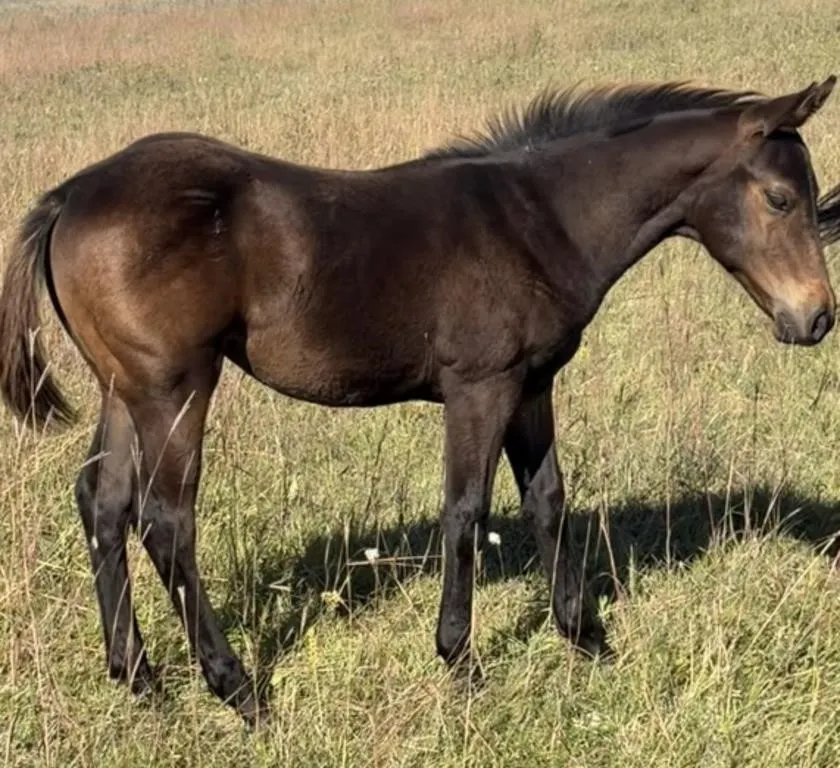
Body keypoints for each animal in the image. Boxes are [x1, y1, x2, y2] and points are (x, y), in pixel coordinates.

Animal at [0, 76, 837, 725]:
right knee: (166, 520)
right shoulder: (480, 386)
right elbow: (465, 511)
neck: (537, 220)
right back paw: (238, 690)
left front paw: (587, 640)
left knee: (103, 504)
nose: (816, 318)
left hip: (125, 388)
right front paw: (460, 661)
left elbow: (548, 500)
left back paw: (140, 680)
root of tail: (70, 195)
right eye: (779, 198)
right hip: (176, 386)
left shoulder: (532, 384)